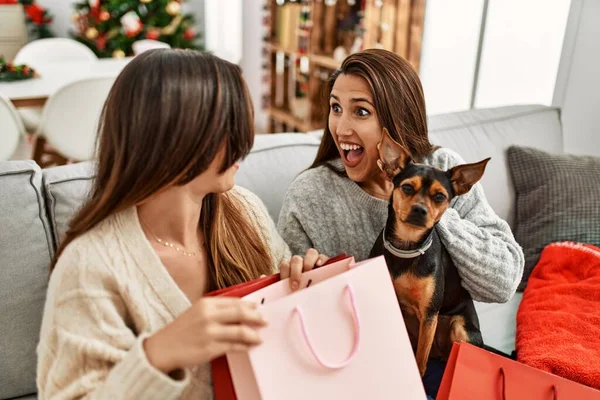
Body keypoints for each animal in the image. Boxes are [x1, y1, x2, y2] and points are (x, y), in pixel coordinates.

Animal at [370, 129, 488, 378]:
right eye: (406, 188)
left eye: (440, 197)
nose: (419, 210)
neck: (406, 247)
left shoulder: (429, 314)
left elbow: (420, 359)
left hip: (459, 326)